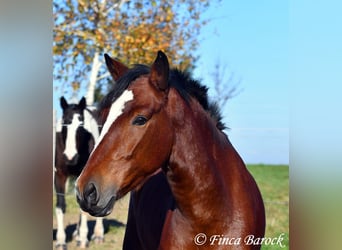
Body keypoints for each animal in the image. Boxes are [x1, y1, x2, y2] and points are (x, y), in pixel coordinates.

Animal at [54, 96, 105, 249]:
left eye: (81, 124)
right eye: (64, 123)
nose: (70, 157)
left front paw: (83, 239)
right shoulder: (59, 175)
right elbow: (60, 206)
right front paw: (61, 241)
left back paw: (98, 234)